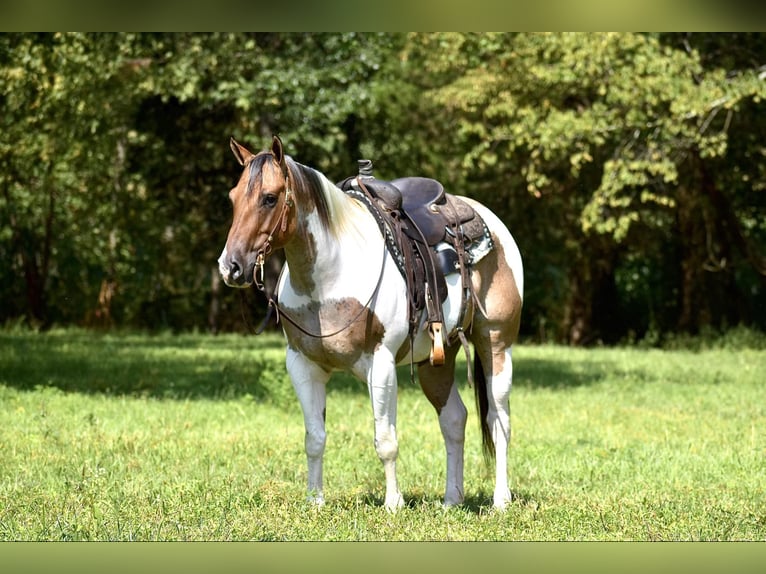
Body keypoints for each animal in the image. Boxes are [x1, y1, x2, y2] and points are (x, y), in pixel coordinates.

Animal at [219, 136, 524, 512]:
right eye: (233, 197)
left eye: (269, 198)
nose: (230, 266)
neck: (331, 275)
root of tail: (490, 221)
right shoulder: (302, 365)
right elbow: (314, 438)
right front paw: (315, 502)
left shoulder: (380, 363)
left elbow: (386, 439)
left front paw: (393, 503)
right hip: (437, 361)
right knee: (454, 419)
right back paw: (451, 500)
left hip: (495, 344)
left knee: (499, 419)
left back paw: (501, 499)